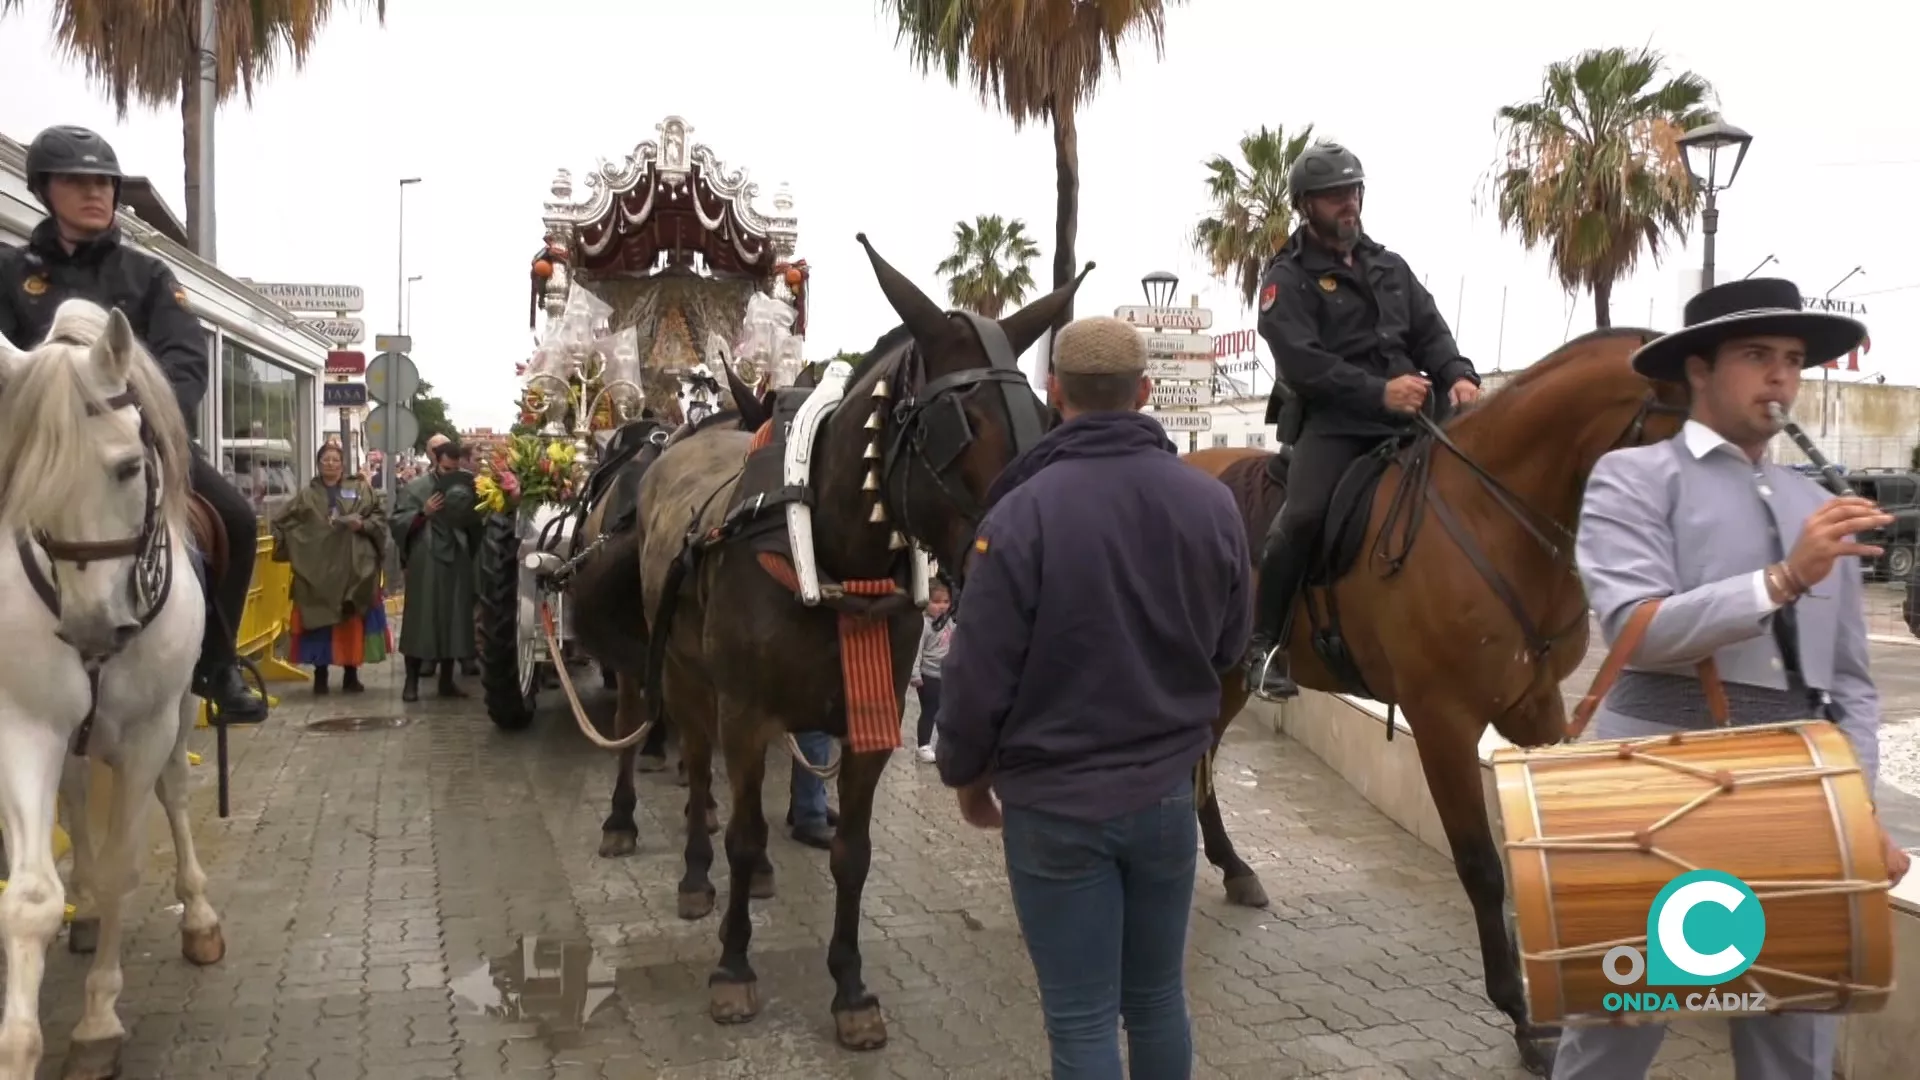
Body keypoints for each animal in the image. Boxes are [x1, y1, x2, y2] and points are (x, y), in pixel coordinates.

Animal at [0, 299, 222, 1076]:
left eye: (128, 467)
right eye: (24, 480)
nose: (92, 629)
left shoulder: (151, 729)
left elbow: (128, 864)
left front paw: (98, 1022)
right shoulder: (24, 729)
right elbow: (30, 897)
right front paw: (19, 1047)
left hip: (182, 712)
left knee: (176, 799)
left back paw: (199, 918)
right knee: (74, 796)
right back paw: (88, 911)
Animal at [633, 233, 1098, 1045]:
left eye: (1044, 416)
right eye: (959, 430)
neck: (824, 551)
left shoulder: (869, 717)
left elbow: (853, 854)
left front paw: (849, 987)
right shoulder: (743, 713)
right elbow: (741, 832)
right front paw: (734, 967)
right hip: (686, 678)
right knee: (695, 774)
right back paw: (694, 873)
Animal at [1175, 328, 1689, 1068]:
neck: (1495, 516)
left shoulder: (1538, 708)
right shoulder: (1443, 720)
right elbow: (1481, 865)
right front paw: (1522, 1014)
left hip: (1228, 679)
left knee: (1204, 760)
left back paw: (1233, 865)